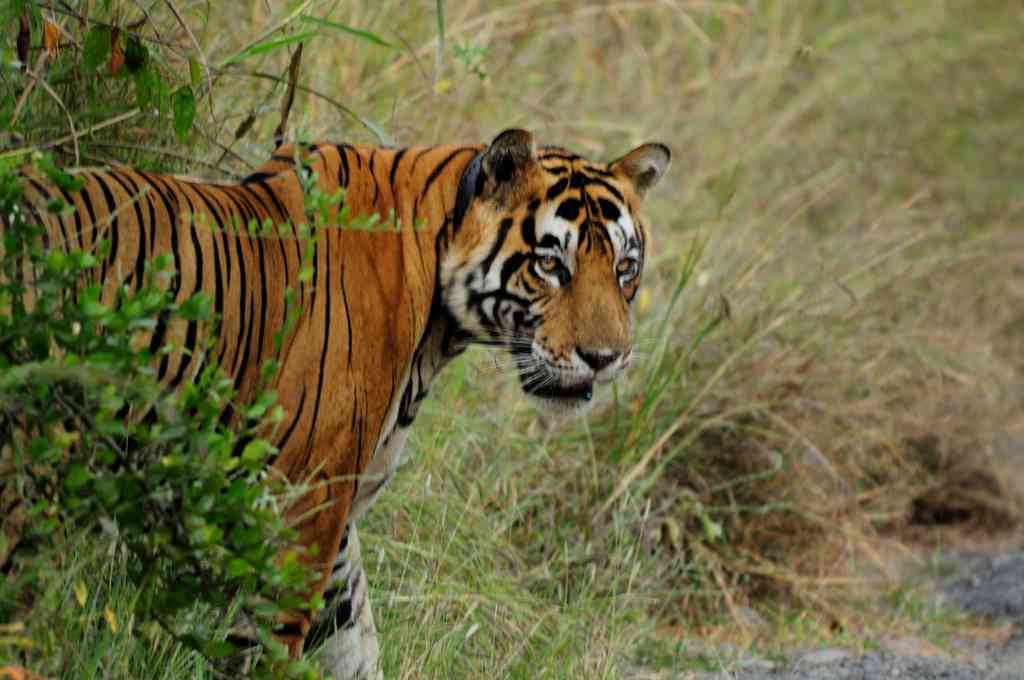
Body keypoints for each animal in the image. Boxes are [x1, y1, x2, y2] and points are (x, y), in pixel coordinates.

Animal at [15, 129, 670, 679]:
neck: (439, 328)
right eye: (550, 264)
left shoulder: (339, 512)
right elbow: (272, 641)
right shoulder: (302, 500)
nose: (607, 357)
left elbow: (351, 640)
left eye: (625, 268)